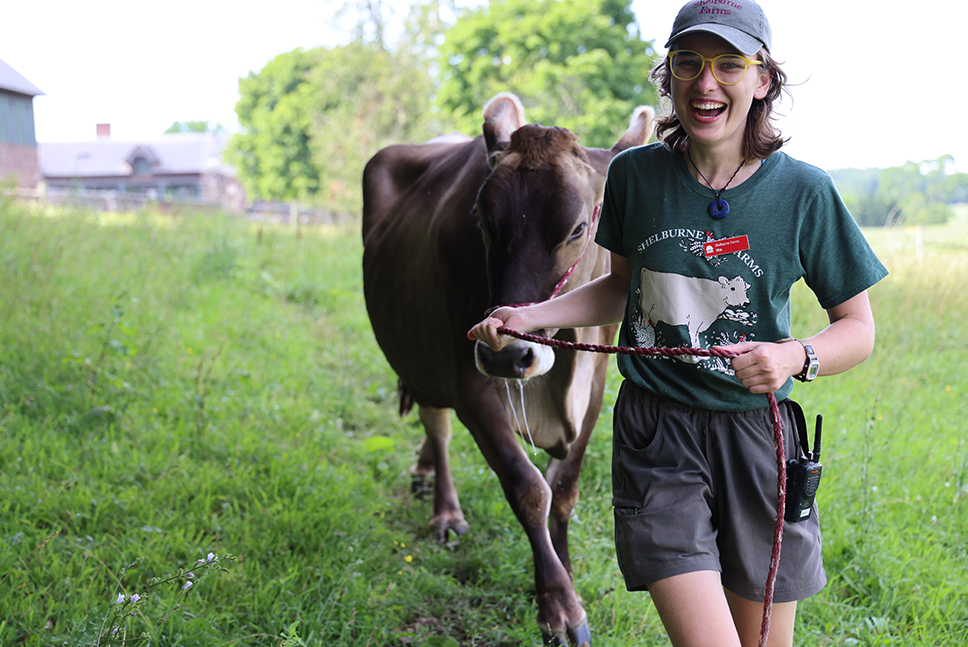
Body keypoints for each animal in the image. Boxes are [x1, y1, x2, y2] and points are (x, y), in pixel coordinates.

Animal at [360, 93, 656, 644]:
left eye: (578, 228)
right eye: (480, 219)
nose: (506, 353)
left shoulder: (595, 388)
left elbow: (563, 492)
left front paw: (566, 572)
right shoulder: (470, 380)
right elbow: (528, 488)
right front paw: (560, 605)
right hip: (421, 351)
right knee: (436, 423)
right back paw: (445, 511)